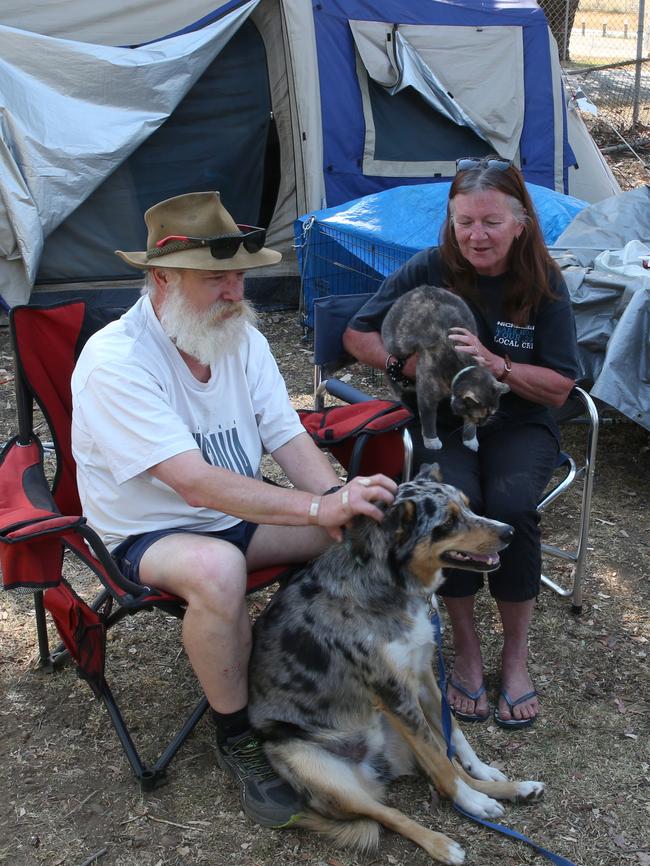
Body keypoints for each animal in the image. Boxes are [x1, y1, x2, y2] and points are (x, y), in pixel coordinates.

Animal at [380, 286, 506, 452]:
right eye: (479, 416)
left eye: (490, 413)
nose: (482, 423)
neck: (459, 364)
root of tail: (420, 288)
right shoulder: (427, 392)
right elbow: (428, 417)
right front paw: (431, 440)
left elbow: (468, 426)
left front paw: (470, 439)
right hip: (395, 355)